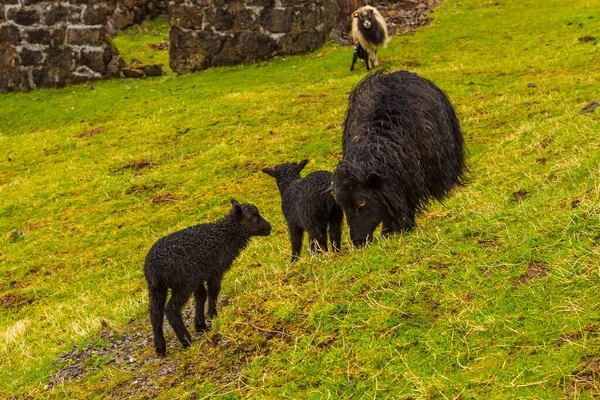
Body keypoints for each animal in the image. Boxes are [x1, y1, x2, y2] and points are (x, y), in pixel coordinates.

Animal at [143, 200, 270, 356]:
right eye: (253, 217)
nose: (269, 226)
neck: (224, 236)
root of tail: (154, 267)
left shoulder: (199, 275)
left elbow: (201, 296)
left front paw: (200, 324)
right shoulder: (214, 270)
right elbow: (214, 290)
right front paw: (212, 315)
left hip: (156, 287)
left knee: (155, 312)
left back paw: (160, 348)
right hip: (183, 282)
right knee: (171, 309)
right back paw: (186, 340)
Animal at [332, 70, 464, 245]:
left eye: (362, 201)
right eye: (342, 206)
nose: (359, 241)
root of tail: (396, 73)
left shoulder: (408, 179)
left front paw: (398, 229)